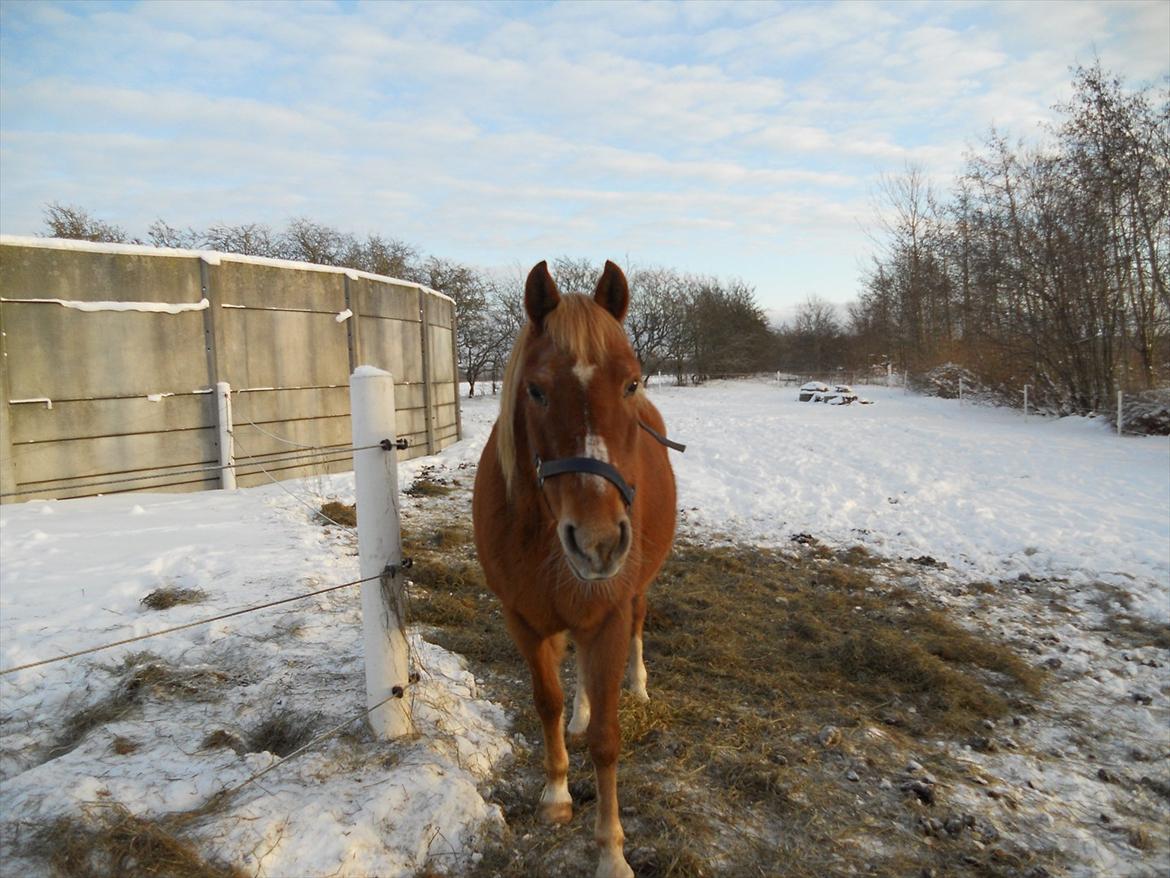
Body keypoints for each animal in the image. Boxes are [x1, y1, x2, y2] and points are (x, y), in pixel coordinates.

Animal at [472, 257, 683, 875]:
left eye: (631, 382)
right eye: (536, 389)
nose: (598, 543)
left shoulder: (606, 618)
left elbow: (609, 741)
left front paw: (611, 851)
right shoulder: (524, 619)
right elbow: (548, 702)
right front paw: (556, 795)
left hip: (631, 596)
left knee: (637, 627)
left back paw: (638, 685)